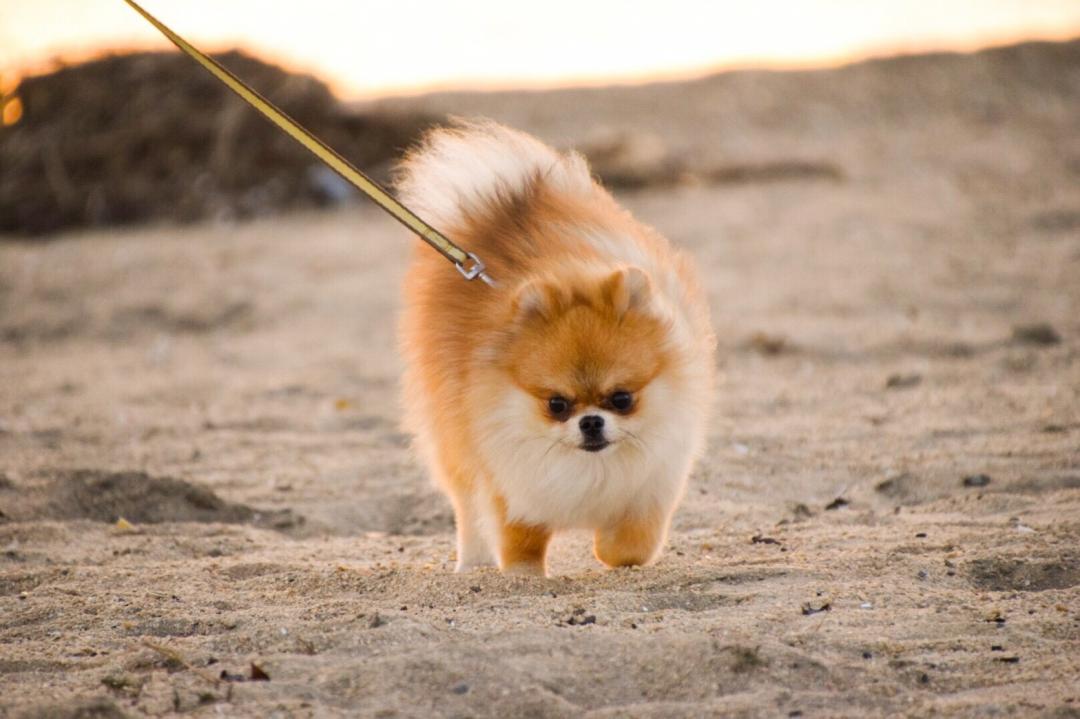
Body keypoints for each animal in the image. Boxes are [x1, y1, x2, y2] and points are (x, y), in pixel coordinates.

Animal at [397, 120, 717, 574]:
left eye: (622, 399)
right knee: (467, 508)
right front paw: (524, 573)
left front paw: (611, 552)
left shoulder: (655, 481)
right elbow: (519, 537)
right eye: (557, 405)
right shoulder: (507, 479)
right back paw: (472, 563)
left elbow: (632, 543)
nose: (591, 423)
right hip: (453, 439)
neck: (590, 464)